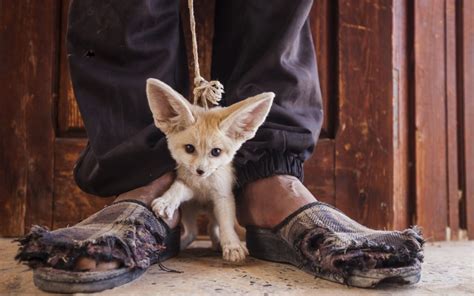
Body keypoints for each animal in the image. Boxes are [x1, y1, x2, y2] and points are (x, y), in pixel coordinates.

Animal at [147, 78, 274, 262]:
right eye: (189, 148)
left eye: (216, 152)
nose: (200, 171)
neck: (203, 186)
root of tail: (204, 208)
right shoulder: (189, 187)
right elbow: (179, 187)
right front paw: (167, 200)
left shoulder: (223, 197)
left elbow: (227, 225)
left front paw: (232, 245)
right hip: (188, 211)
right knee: (193, 232)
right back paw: (182, 244)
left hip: (213, 212)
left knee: (211, 229)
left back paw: (218, 243)